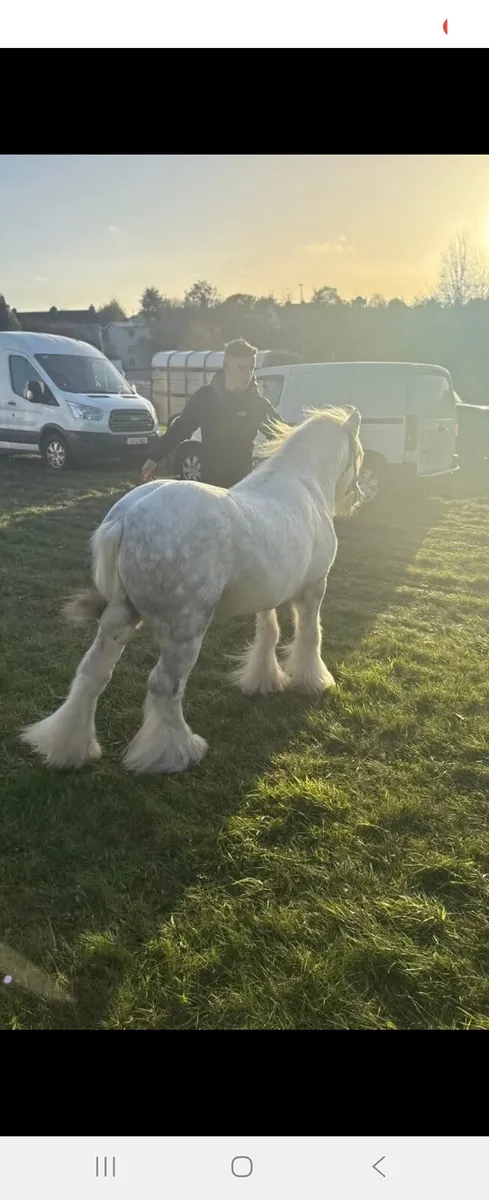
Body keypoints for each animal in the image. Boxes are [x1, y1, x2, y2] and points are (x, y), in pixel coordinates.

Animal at [20, 406, 364, 775]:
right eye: (359, 453)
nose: (358, 496)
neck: (303, 484)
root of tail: (125, 518)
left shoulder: (267, 596)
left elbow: (267, 634)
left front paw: (263, 680)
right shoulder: (314, 590)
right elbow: (310, 636)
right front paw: (312, 681)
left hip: (118, 619)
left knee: (91, 674)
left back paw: (69, 748)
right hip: (184, 631)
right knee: (164, 686)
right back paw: (176, 753)